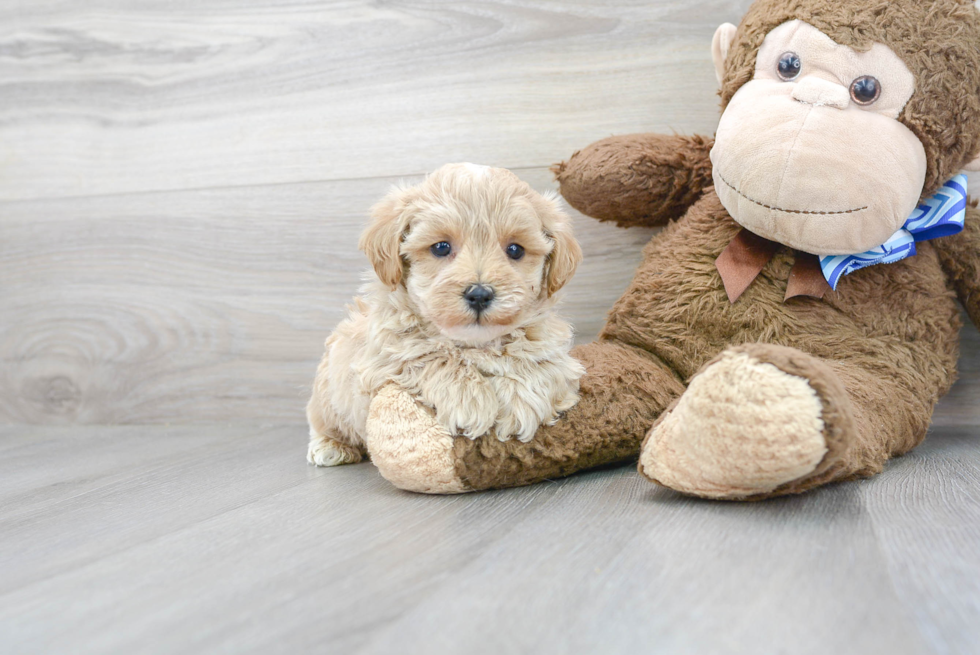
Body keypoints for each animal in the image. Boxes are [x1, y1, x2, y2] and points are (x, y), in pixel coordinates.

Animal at [306, 162, 580, 466]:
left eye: (515, 250)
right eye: (441, 247)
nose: (479, 294)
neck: (474, 344)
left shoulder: (552, 347)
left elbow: (537, 361)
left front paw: (522, 399)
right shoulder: (384, 357)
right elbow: (430, 355)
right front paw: (470, 398)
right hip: (328, 396)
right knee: (322, 421)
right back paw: (330, 446)